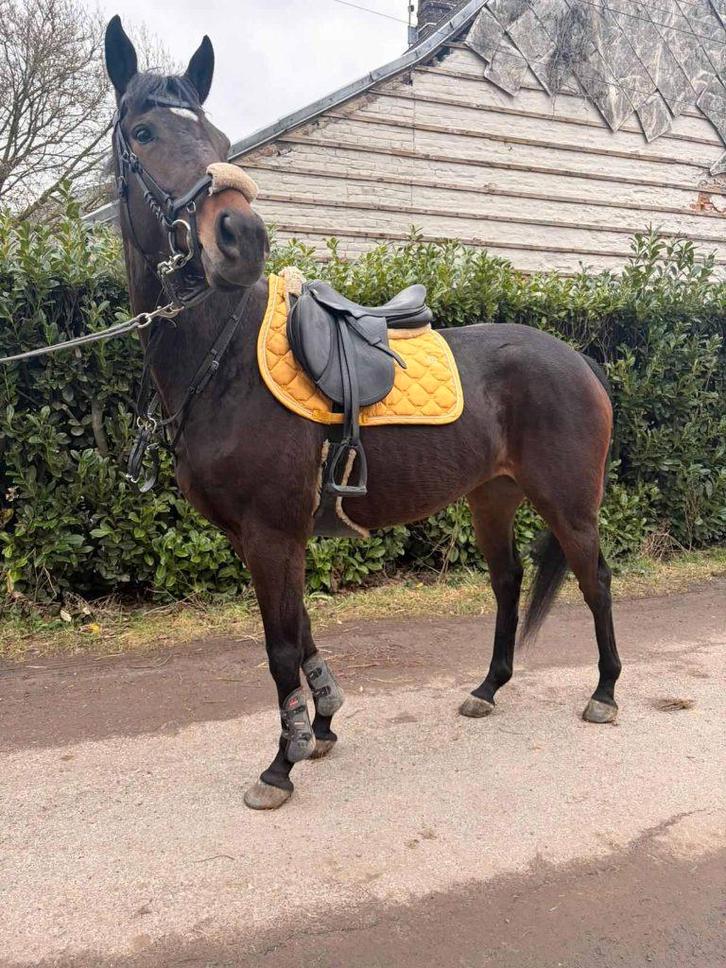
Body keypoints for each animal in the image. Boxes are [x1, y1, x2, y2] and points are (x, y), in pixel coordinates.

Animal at [104, 16, 621, 810]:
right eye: (144, 130)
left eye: (219, 138)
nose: (241, 238)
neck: (226, 363)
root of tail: (579, 360)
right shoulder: (264, 538)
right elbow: (304, 631)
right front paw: (319, 728)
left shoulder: (271, 534)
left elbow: (281, 645)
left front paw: (279, 765)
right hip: (493, 498)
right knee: (507, 582)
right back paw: (488, 688)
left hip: (568, 502)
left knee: (596, 579)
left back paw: (604, 693)